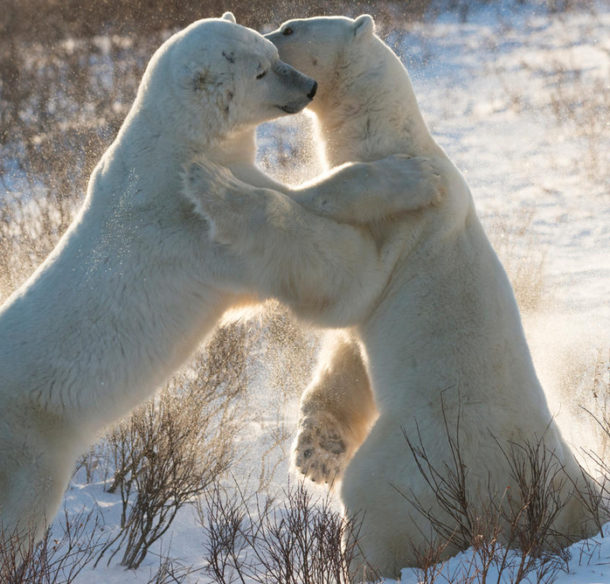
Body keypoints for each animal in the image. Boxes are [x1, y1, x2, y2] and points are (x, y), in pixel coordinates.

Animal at [0, 13, 444, 548]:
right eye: (261, 71)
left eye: (274, 54)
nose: (310, 87)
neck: (174, 141)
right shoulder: (188, 220)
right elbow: (288, 217)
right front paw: (416, 178)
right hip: (32, 443)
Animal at [183, 13, 596, 580]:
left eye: (289, 29)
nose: (257, 36)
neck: (390, 139)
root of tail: (523, 489)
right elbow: (347, 353)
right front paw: (315, 454)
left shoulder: (398, 228)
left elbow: (341, 276)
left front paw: (217, 185)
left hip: (423, 453)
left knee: (379, 500)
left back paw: (360, 560)